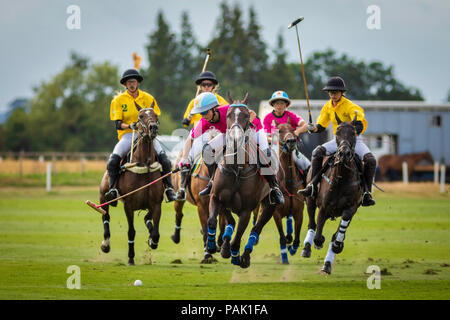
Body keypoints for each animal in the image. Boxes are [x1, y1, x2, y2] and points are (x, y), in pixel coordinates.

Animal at [97, 104, 164, 266]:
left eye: (155, 115)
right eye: (140, 116)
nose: (153, 128)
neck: (145, 164)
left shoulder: (156, 204)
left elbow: (156, 232)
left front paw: (152, 241)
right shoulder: (129, 205)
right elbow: (131, 231)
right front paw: (131, 257)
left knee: (147, 219)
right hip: (103, 197)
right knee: (105, 216)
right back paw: (105, 244)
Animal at [206, 92, 276, 268]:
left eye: (245, 115)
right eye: (229, 115)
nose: (236, 139)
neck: (236, 168)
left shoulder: (246, 210)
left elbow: (238, 237)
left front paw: (236, 255)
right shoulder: (217, 197)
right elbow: (214, 221)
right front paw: (214, 246)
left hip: (270, 205)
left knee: (256, 230)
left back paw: (245, 256)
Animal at [302, 115, 362, 276]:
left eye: (353, 133)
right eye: (338, 132)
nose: (344, 153)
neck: (341, 178)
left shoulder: (352, 207)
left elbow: (339, 233)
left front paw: (336, 245)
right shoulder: (324, 207)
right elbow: (318, 234)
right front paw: (319, 241)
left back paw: (327, 264)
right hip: (310, 200)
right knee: (312, 224)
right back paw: (306, 248)